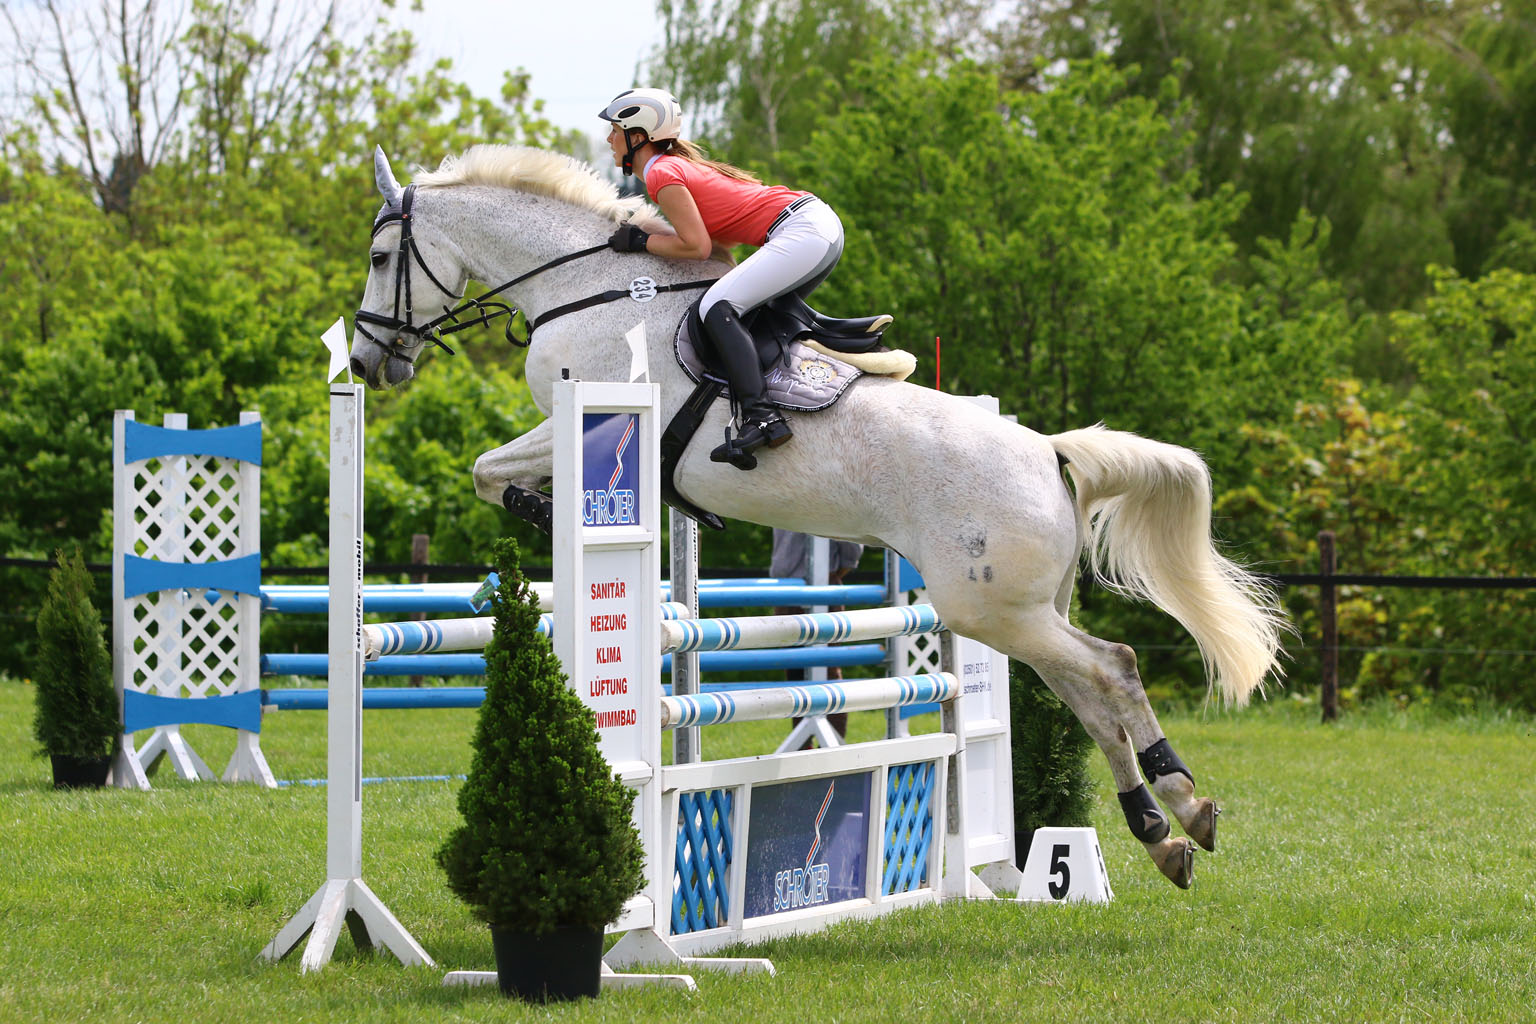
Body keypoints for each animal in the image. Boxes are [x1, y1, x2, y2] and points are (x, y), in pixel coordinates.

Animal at [349, 144, 1288, 889]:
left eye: (383, 252)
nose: (366, 360)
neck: (585, 286)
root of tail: (1047, 452)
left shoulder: (588, 420)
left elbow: (487, 471)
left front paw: (537, 509)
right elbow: (488, 469)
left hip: (990, 607)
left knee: (1114, 670)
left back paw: (1181, 806)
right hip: (1021, 610)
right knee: (1090, 694)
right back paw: (1162, 832)